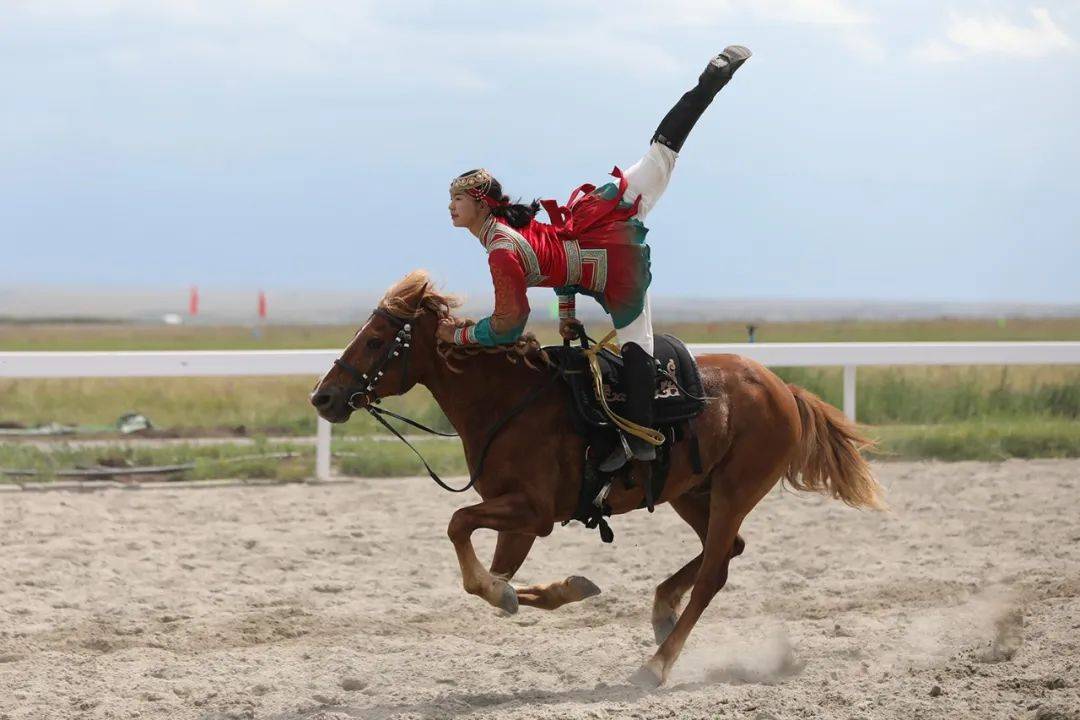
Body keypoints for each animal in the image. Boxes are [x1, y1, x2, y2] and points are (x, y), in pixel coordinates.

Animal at [308, 269, 881, 686]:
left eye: (376, 339)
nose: (324, 397)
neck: (510, 402)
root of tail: (783, 388)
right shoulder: (519, 522)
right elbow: (499, 578)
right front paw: (561, 589)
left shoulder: (534, 511)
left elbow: (459, 528)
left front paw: (509, 592)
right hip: (691, 493)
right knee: (726, 553)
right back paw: (661, 610)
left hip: (734, 491)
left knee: (715, 572)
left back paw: (655, 666)